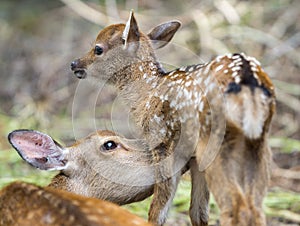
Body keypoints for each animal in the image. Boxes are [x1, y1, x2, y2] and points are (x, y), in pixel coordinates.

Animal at [69, 11, 274, 225]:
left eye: (98, 48)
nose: (74, 63)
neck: (147, 94)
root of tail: (248, 80)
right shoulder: (194, 159)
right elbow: (198, 212)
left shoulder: (162, 143)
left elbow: (158, 209)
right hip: (258, 142)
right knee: (255, 205)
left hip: (216, 142)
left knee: (236, 204)